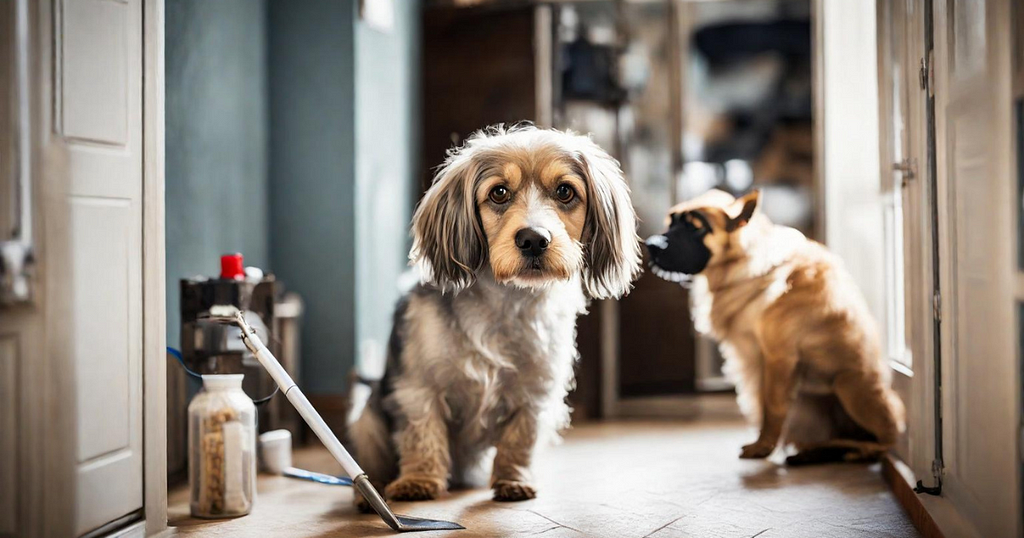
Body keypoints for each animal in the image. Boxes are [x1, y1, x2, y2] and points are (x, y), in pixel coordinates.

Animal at [647, 188, 905, 461]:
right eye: (671, 223)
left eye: (695, 228)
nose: (650, 244)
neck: (743, 262)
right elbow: (763, 403)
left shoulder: (778, 357)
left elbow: (772, 406)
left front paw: (763, 447)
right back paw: (813, 451)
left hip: (848, 385)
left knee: (887, 438)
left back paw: (858, 450)